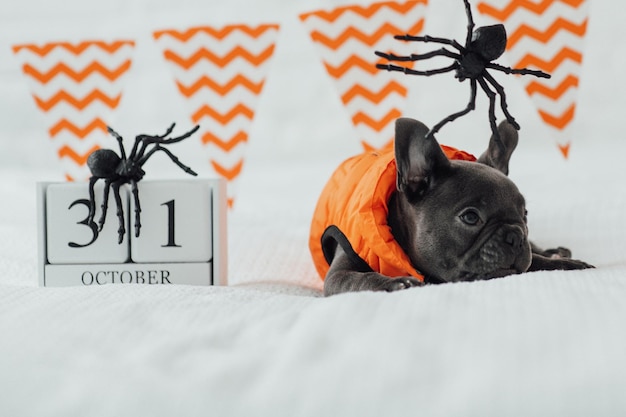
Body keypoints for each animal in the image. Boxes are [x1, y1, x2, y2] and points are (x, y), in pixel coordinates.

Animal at [310, 116, 592, 296]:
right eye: (470, 217)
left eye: (525, 215)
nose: (516, 235)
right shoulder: (338, 275)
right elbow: (360, 278)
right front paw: (396, 283)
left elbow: (536, 260)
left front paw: (567, 263)